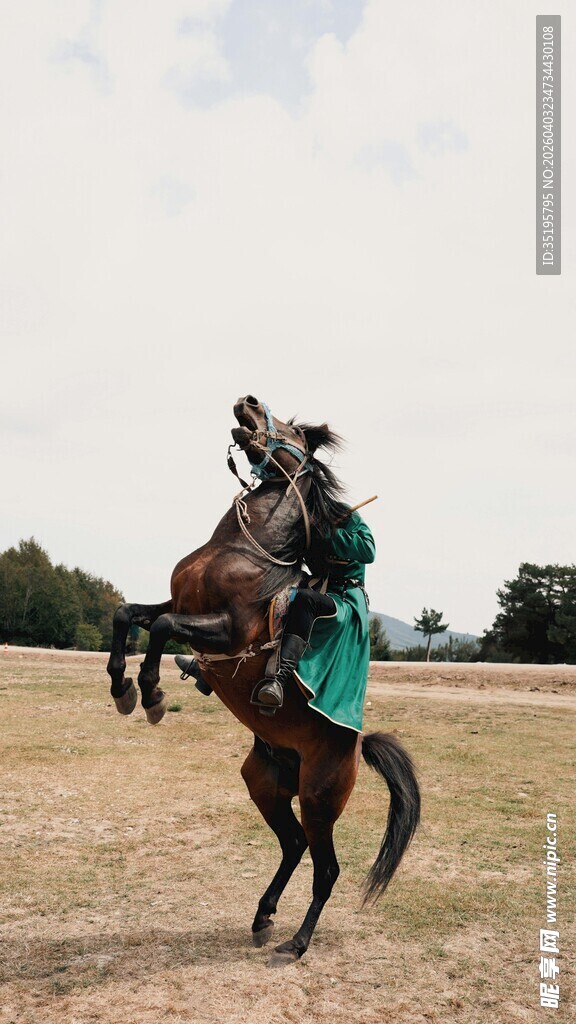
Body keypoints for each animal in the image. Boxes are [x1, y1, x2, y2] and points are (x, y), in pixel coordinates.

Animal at [106, 395, 420, 966]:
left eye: (294, 429)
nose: (247, 402)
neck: (241, 550)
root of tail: (356, 743)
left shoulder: (224, 628)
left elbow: (158, 627)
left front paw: (152, 691)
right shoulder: (178, 605)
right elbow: (128, 614)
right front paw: (122, 687)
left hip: (319, 800)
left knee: (326, 868)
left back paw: (295, 943)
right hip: (266, 785)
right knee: (294, 846)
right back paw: (263, 916)